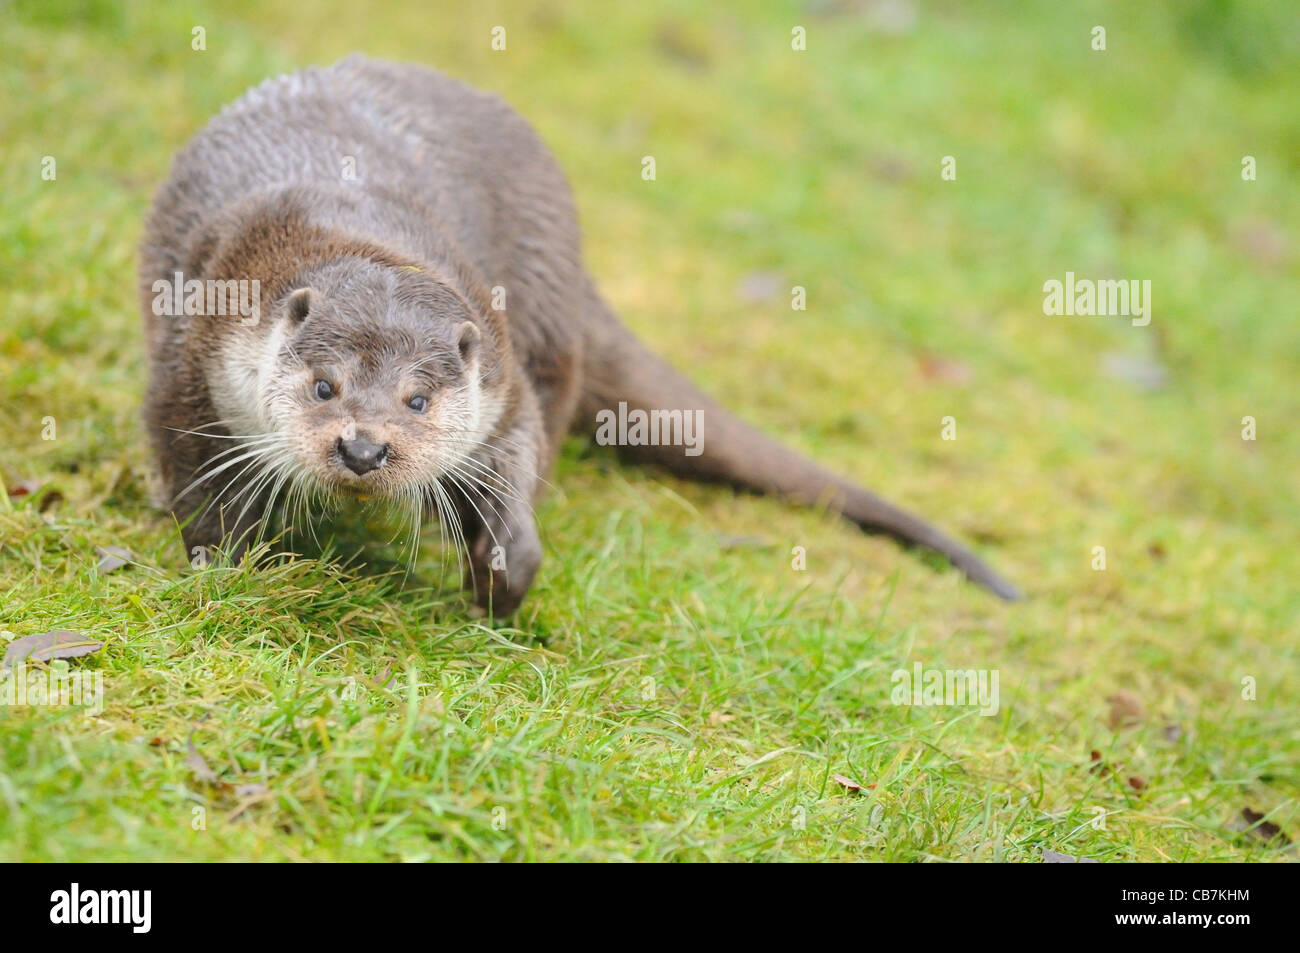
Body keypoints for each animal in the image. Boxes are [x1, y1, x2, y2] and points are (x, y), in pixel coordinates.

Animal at [137, 55, 1019, 613]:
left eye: (418, 401)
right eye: (325, 387)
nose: (362, 447)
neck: (341, 218)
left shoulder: (501, 369)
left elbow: (520, 444)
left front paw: (503, 565)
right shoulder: (193, 355)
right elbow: (192, 470)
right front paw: (225, 561)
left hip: (546, 318)